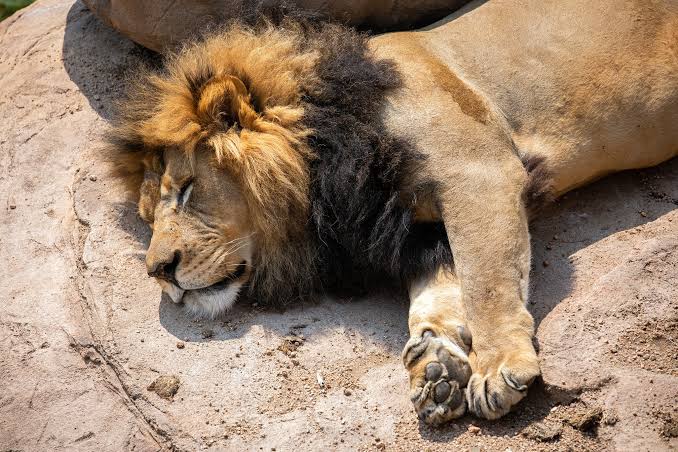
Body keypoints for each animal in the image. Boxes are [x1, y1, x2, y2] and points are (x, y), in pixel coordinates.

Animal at [109, 0, 678, 425]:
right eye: (148, 218)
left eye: (187, 190)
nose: (158, 272)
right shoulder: (412, 226)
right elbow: (442, 286)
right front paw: (437, 364)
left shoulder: (480, 169)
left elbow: (486, 281)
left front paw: (498, 365)